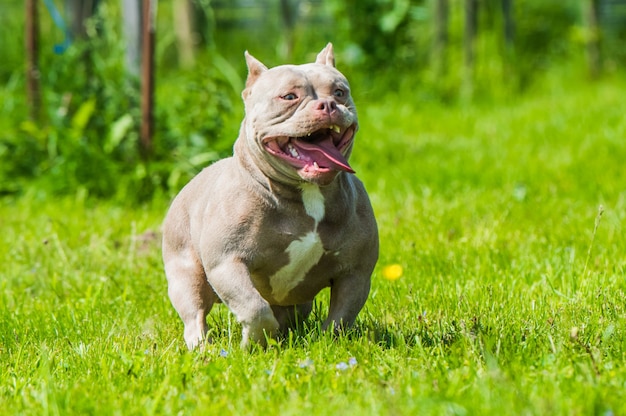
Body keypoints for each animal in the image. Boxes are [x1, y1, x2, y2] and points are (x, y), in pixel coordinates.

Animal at [162, 44, 376, 350]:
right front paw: (255, 343)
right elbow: (254, 307)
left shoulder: (356, 273)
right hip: (186, 273)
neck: (307, 193)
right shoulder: (228, 263)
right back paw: (201, 346)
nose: (328, 105)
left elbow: (341, 317)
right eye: (289, 97)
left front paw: (329, 344)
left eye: (339, 92)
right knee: (196, 312)